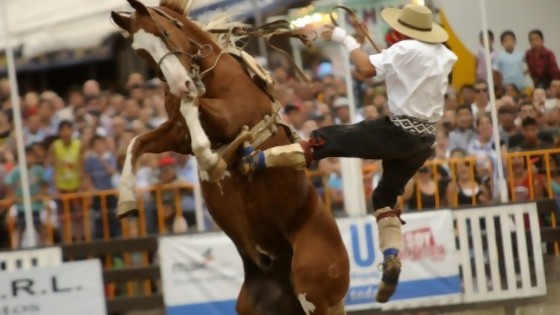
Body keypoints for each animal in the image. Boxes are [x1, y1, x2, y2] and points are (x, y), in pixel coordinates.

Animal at [111, 1, 348, 314]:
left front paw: (214, 160)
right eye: (141, 52)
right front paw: (126, 199)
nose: (180, 84)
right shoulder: (176, 134)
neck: (211, 75)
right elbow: (136, 143)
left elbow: (191, 106)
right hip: (254, 304)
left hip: (315, 291)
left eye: (164, 32)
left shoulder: (231, 115)